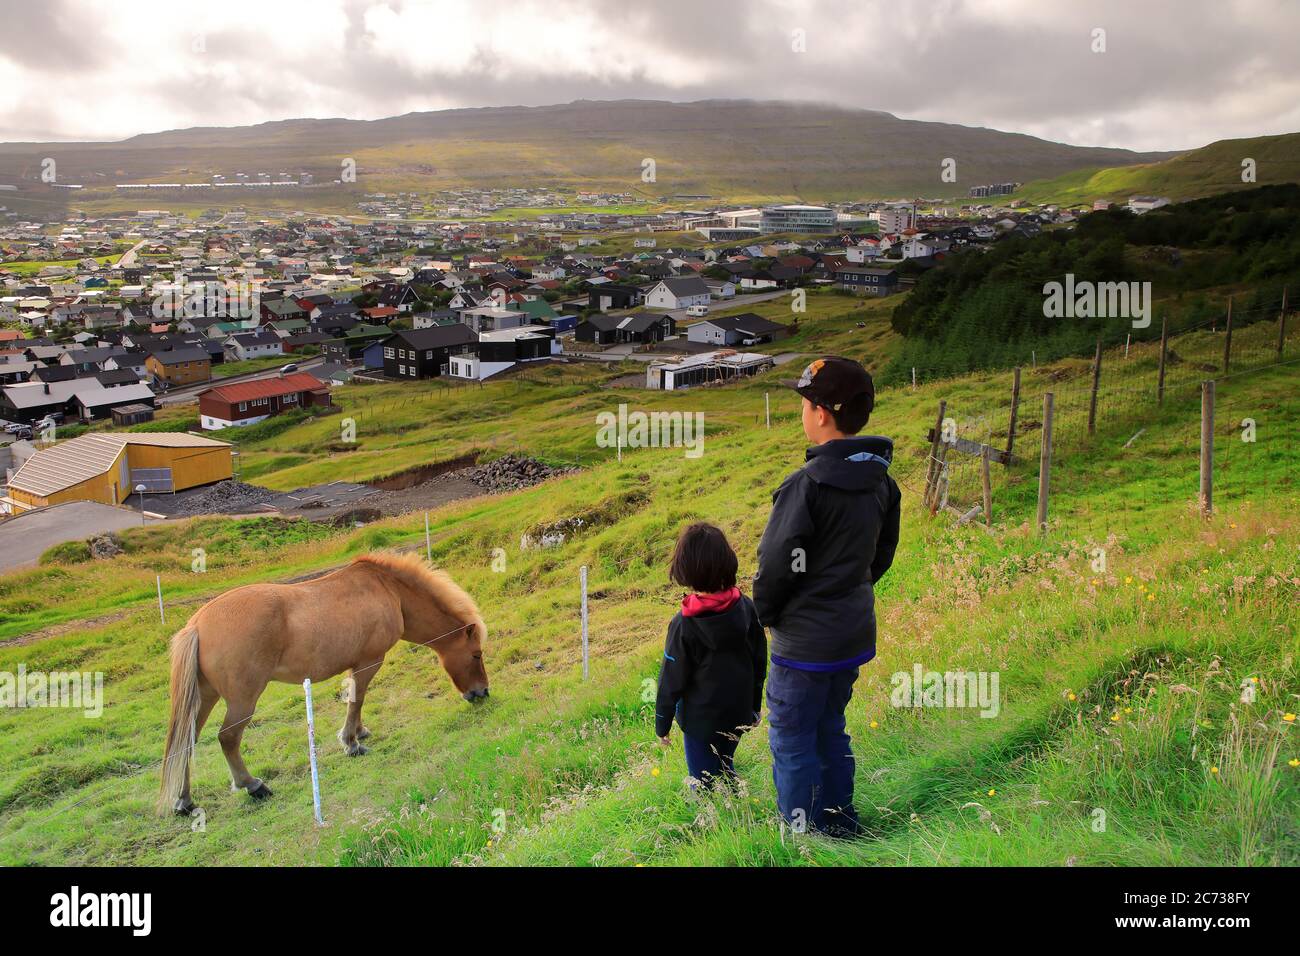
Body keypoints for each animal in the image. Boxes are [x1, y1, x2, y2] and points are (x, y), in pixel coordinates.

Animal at [161, 554, 488, 816]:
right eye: (476, 654)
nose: (482, 692)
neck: (389, 590)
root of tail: (197, 624)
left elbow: (358, 701)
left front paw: (359, 732)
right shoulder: (369, 662)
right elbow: (357, 699)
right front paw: (351, 743)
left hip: (206, 696)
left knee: (186, 742)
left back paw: (184, 801)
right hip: (243, 700)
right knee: (228, 738)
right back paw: (252, 785)